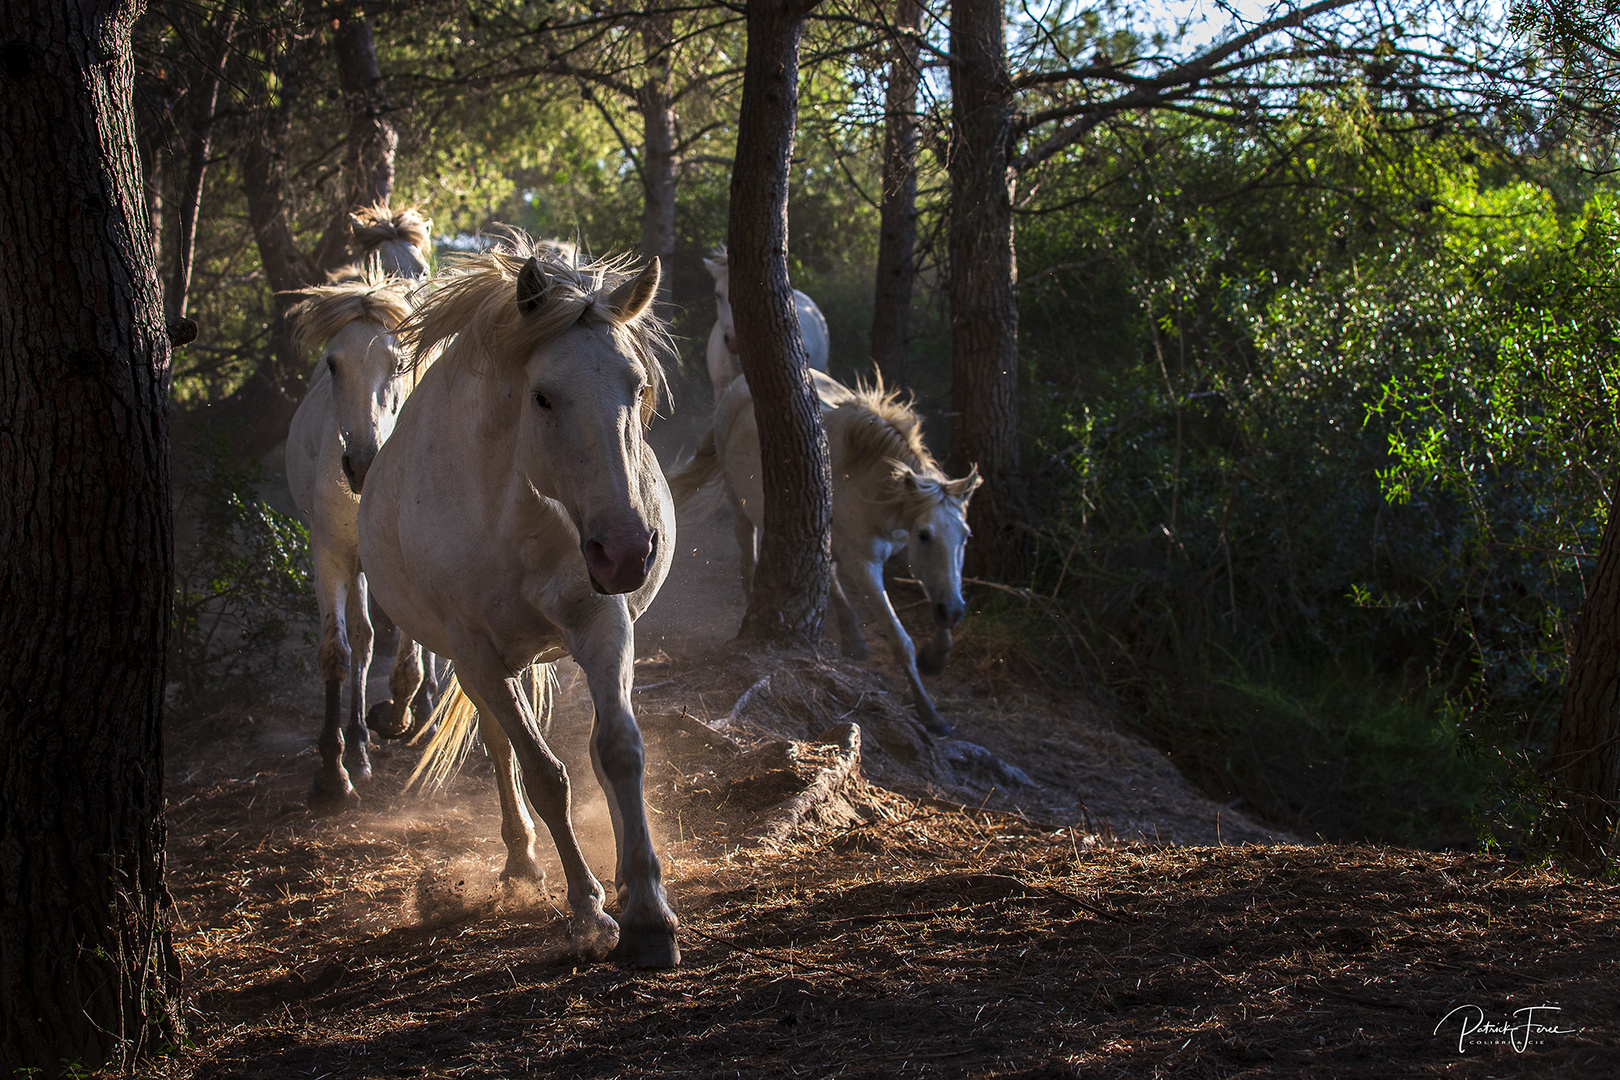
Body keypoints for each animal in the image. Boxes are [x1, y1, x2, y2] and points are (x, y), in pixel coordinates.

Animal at [281, 262, 440, 809]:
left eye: (398, 363)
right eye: (333, 365)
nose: (362, 462)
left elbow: (408, 657)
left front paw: (397, 714)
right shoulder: (330, 554)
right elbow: (339, 651)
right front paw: (333, 770)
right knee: (364, 639)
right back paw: (356, 744)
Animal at [358, 241, 680, 965]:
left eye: (635, 386)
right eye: (544, 397)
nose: (625, 551)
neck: (519, 515)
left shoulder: (603, 625)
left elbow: (619, 750)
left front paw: (647, 910)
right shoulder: (478, 653)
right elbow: (543, 774)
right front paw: (587, 910)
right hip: (482, 665)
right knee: (502, 747)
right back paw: (523, 862)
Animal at [667, 372, 972, 735]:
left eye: (965, 536)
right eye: (925, 535)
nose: (956, 611)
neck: (868, 481)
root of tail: (738, 384)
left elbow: (939, 586)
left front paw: (937, 655)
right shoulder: (864, 564)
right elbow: (901, 640)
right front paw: (929, 711)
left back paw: (854, 638)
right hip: (738, 505)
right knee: (749, 563)